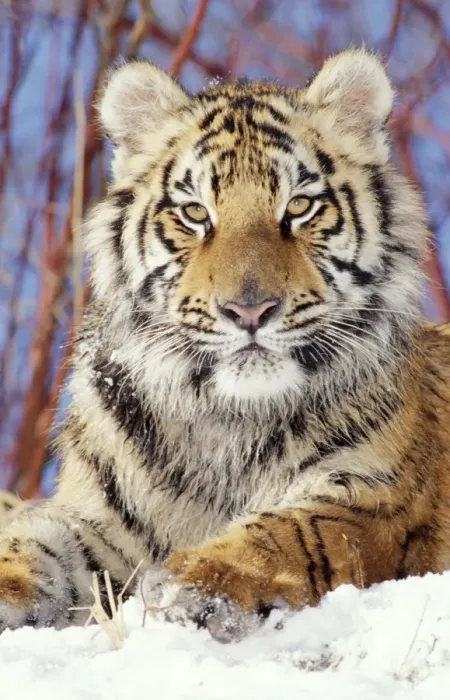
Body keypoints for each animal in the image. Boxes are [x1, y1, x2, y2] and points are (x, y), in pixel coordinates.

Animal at [0, 47, 449, 642]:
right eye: (195, 213)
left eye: (300, 207)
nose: (249, 310)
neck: (223, 418)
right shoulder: (98, 519)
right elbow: (34, 541)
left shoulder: (371, 498)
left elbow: (287, 534)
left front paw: (191, 586)